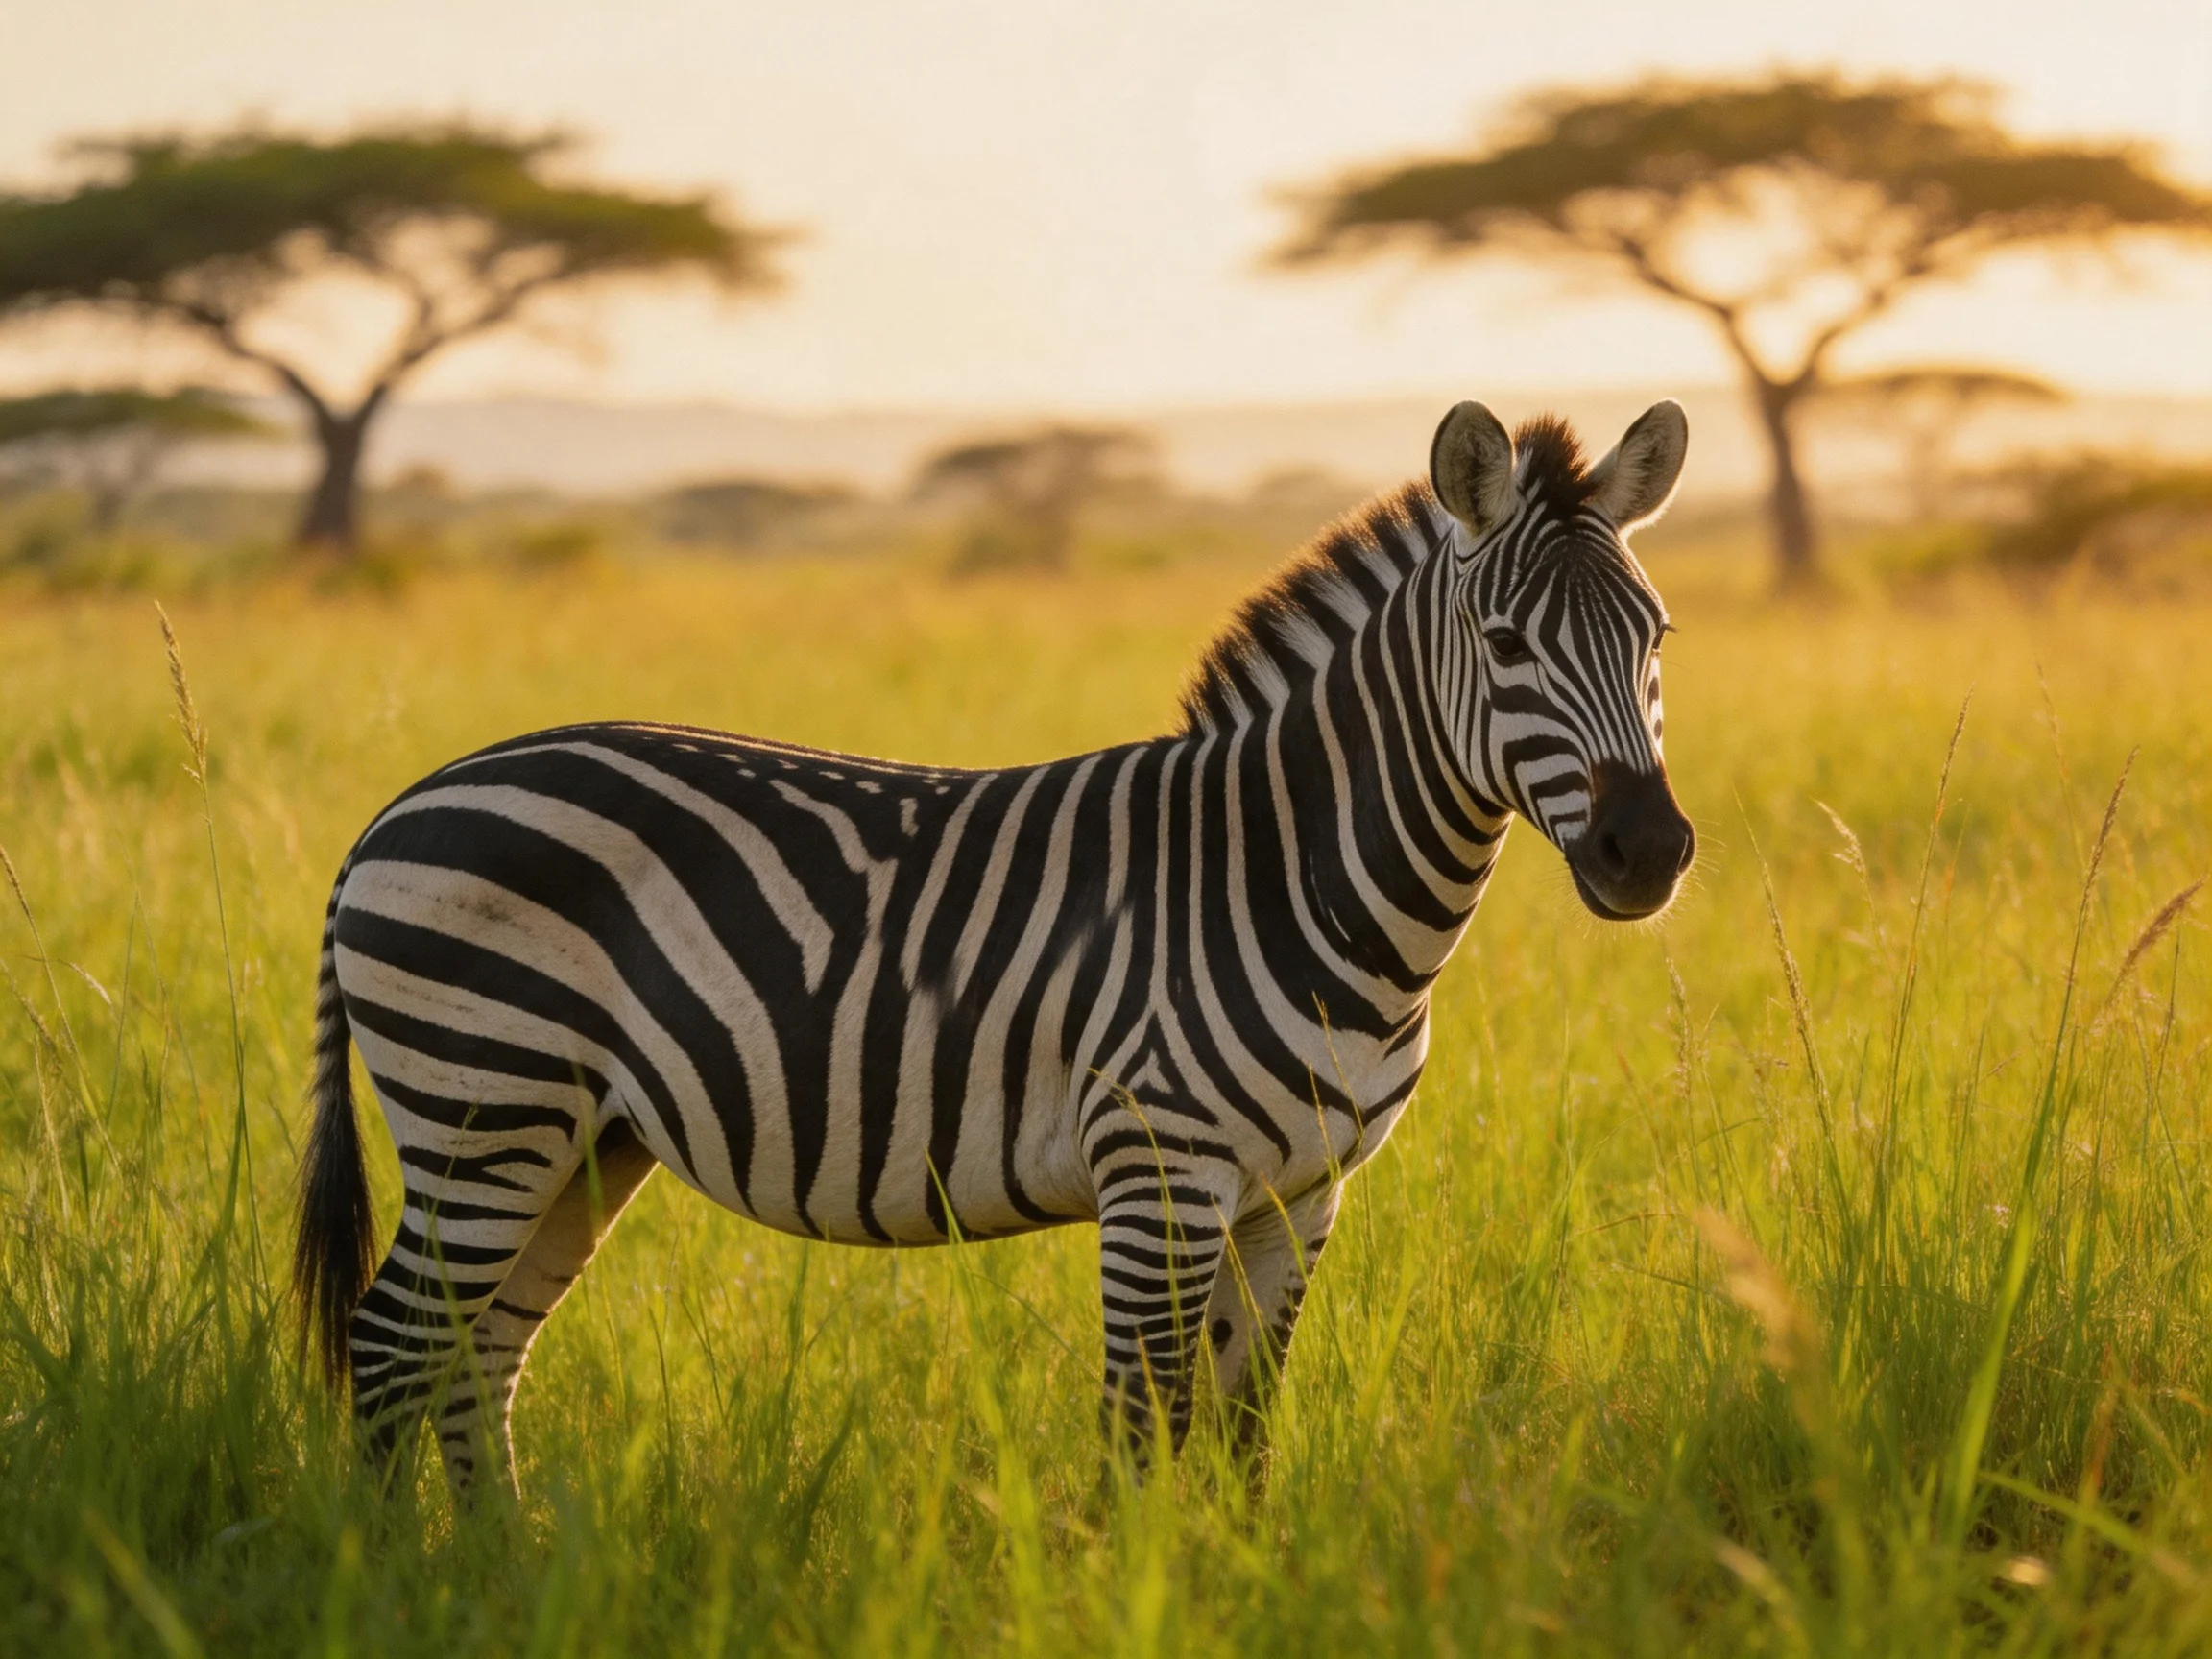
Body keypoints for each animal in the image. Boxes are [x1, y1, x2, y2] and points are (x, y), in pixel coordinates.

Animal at [294, 397, 1696, 1496]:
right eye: (1505, 646)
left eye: (1658, 639)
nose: (1650, 850)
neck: (1298, 887)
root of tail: (399, 806)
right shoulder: (1157, 1172)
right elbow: (1143, 1432)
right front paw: (1135, 1595)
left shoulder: (1302, 1197)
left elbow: (1241, 1434)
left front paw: (1233, 1583)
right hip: (486, 1099)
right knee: (395, 1345)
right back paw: (395, 1578)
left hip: (581, 1137)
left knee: (478, 1351)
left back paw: (503, 1569)